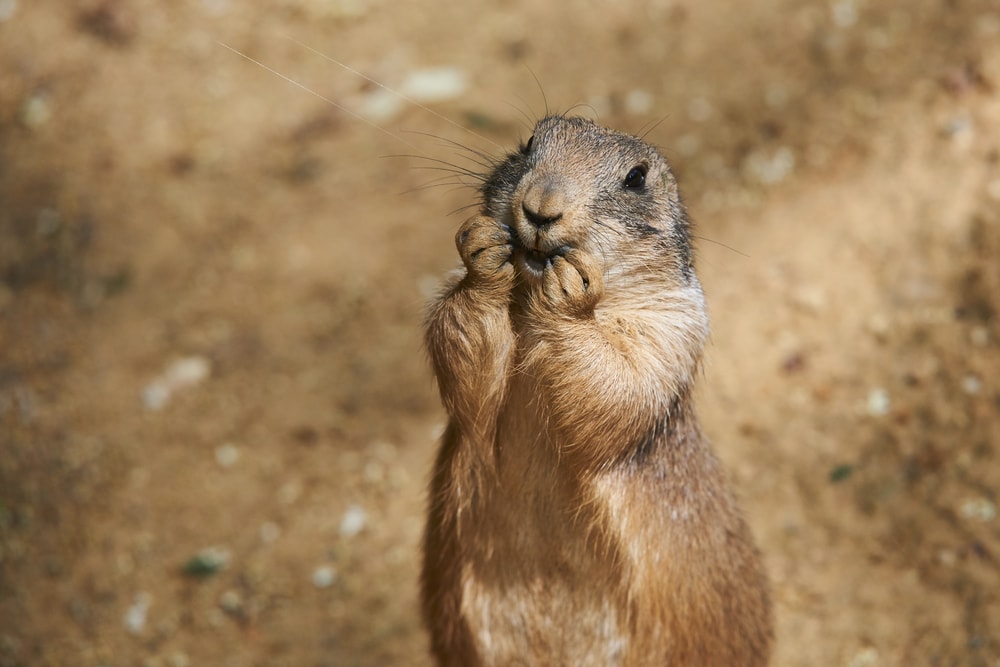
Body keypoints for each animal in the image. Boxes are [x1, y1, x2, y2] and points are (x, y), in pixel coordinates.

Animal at [421, 115, 773, 666]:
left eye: (636, 178)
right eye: (529, 143)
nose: (540, 207)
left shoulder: (673, 325)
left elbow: (623, 380)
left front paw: (570, 289)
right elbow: (454, 335)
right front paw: (483, 251)